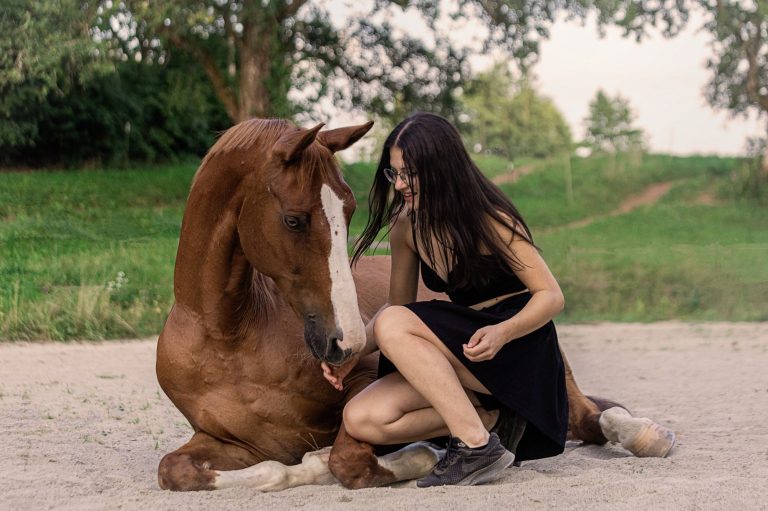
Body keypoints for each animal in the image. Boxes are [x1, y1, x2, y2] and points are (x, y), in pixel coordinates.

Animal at [155, 118, 676, 492]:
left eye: (349, 210)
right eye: (294, 219)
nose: (346, 342)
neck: (228, 335)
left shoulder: (364, 380)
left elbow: (347, 461)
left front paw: (416, 456)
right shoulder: (225, 440)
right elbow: (175, 470)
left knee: (592, 417)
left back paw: (644, 435)